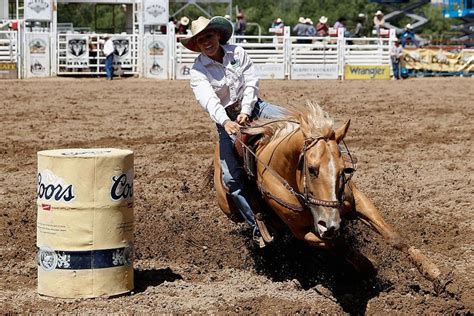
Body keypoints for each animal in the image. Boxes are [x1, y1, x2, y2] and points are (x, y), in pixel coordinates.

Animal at [215, 102, 444, 288]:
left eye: (343, 170)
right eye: (312, 169)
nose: (331, 224)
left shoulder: (357, 201)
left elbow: (394, 237)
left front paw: (433, 273)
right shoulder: (303, 232)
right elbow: (339, 246)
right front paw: (370, 270)